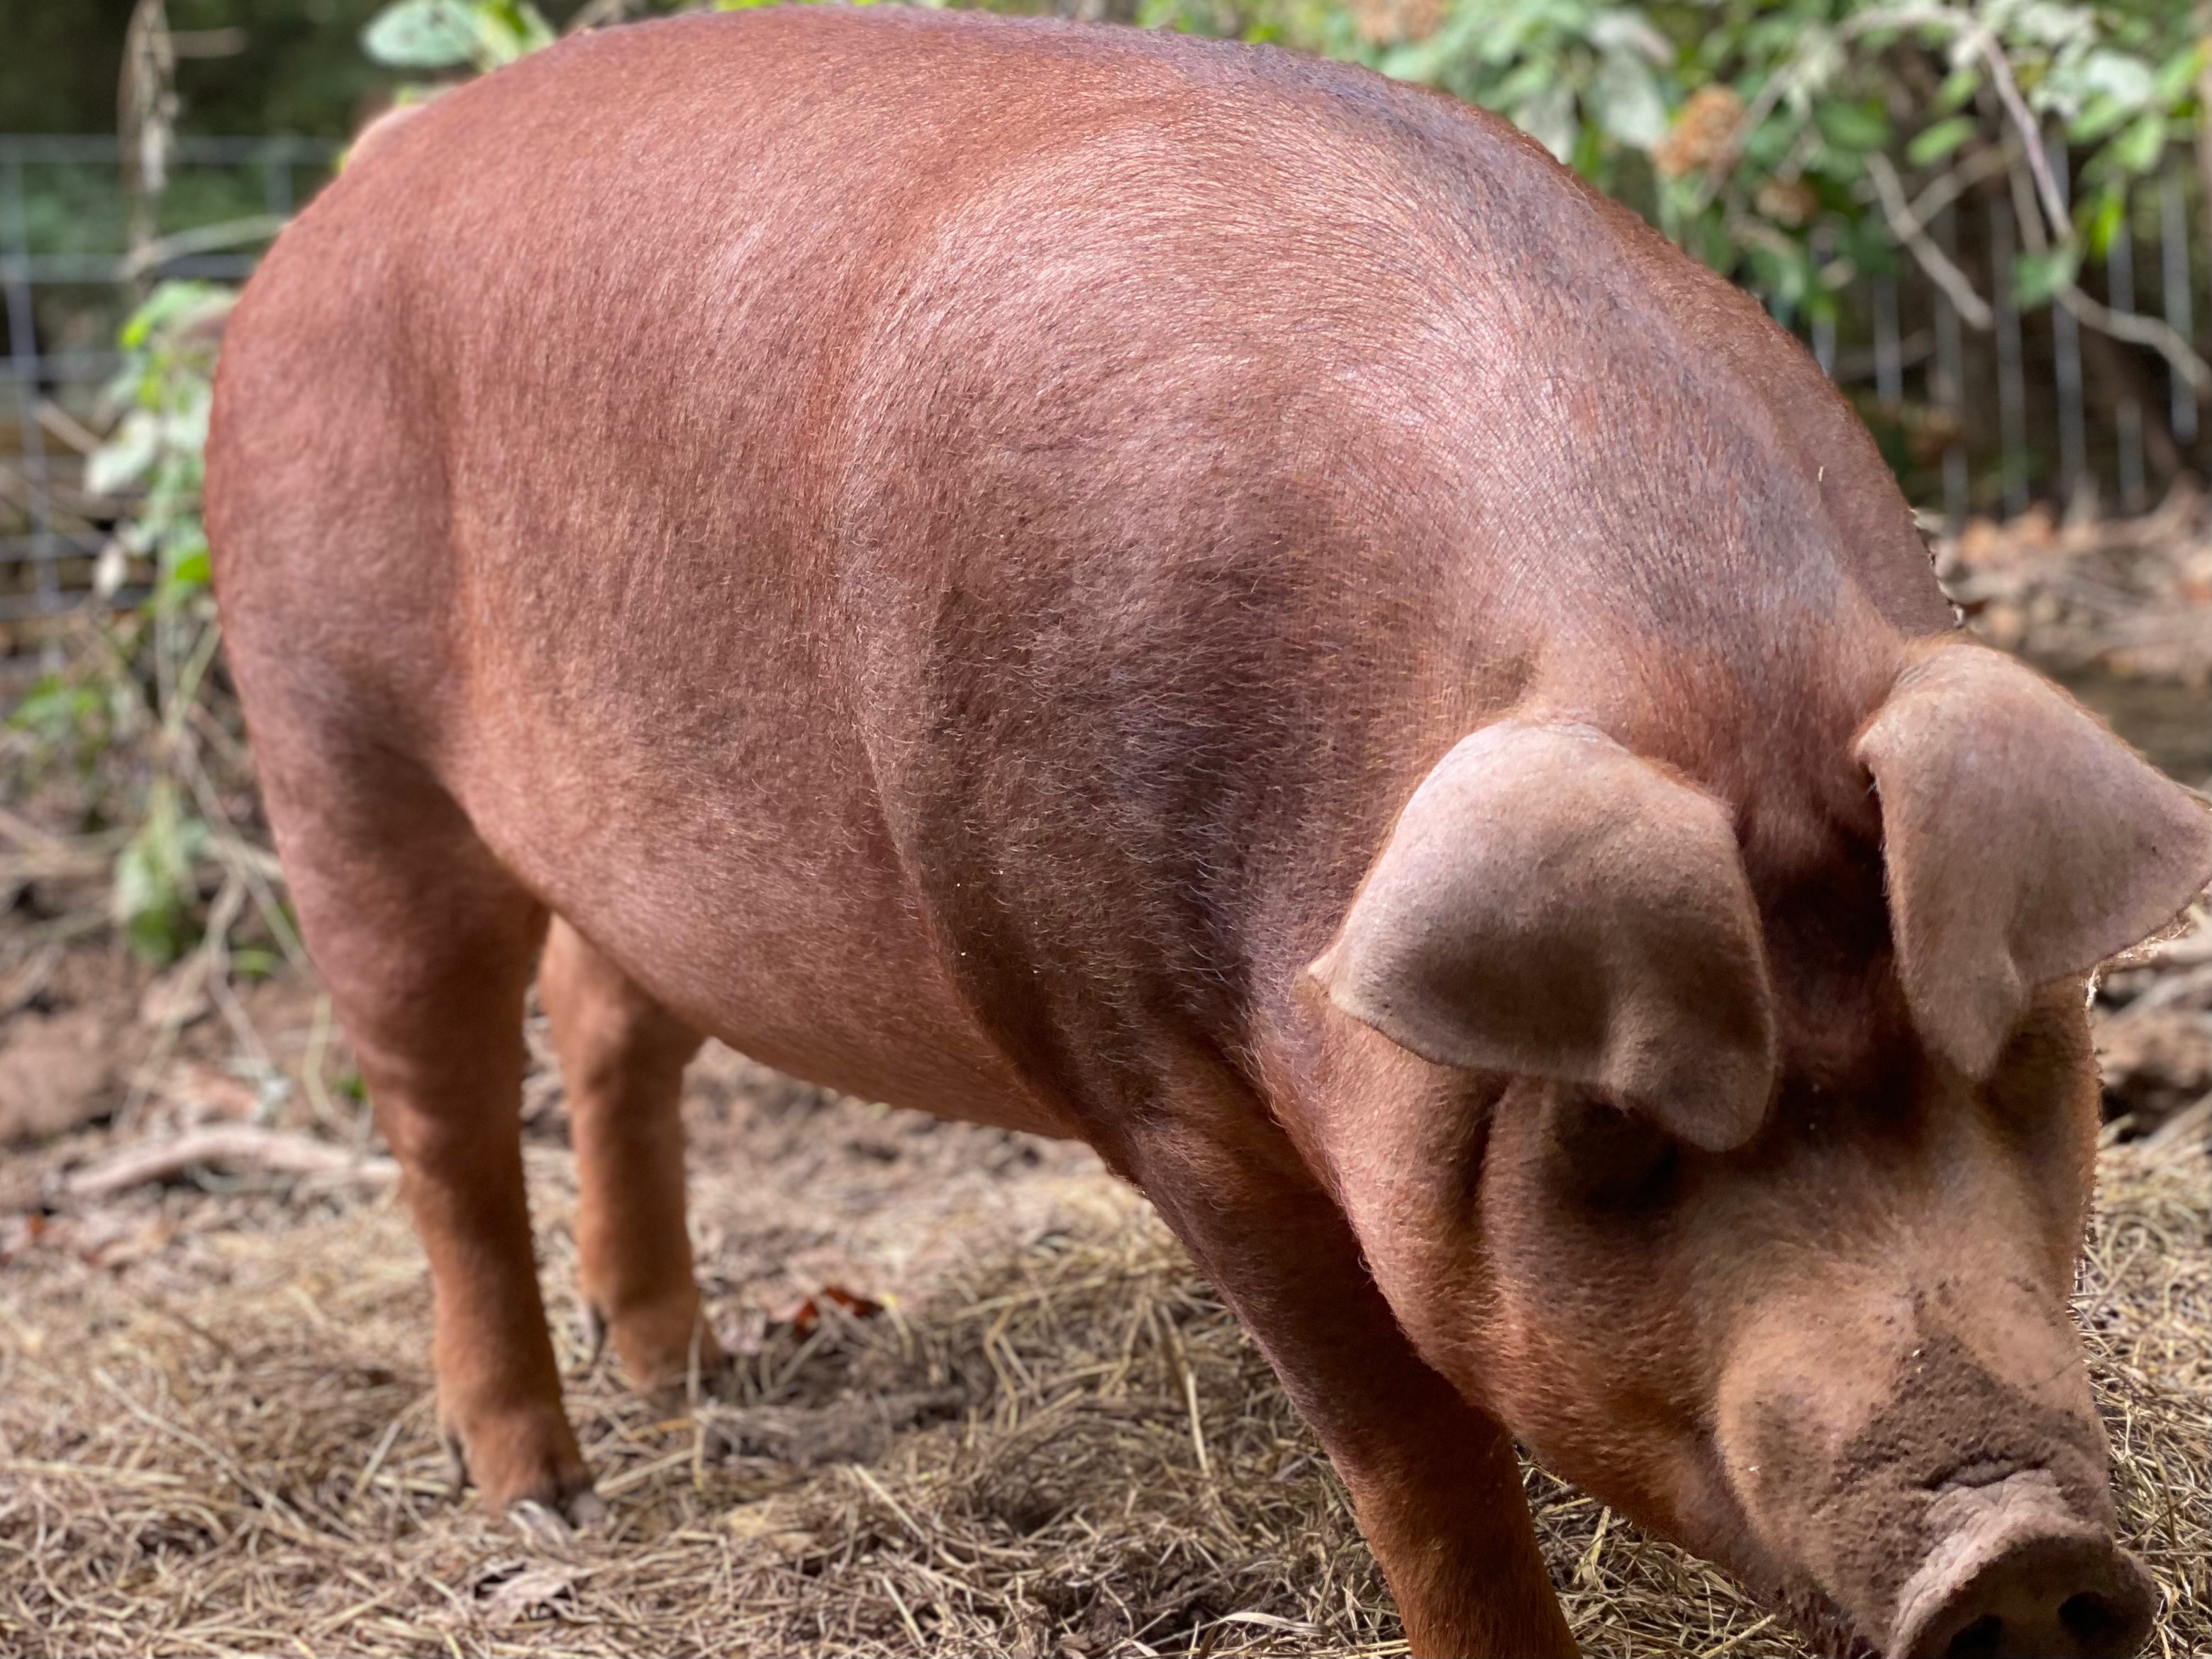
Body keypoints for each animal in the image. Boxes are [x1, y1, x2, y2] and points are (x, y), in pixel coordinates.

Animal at [203, 8, 2210, 1656]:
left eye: (2009, 1060)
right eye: (1617, 1135)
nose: (2018, 1549)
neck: (1677, 647)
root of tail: (355, 180)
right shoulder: (1134, 1058)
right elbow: (1410, 1448)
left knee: (607, 1019)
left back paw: (686, 1374)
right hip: (328, 731)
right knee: (444, 1117)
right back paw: (542, 1492)